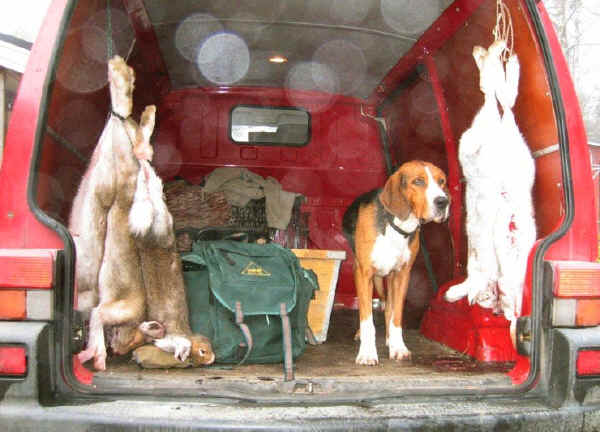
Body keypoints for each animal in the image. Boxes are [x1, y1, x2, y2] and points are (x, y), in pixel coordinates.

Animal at [343, 160, 450, 366]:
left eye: (442, 182)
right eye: (418, 181)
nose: (443, 201)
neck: (397, 226)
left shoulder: (402, 275)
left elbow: (396, 316)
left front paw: (398, 347)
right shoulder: (364, 273)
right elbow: (367, 319)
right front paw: (367, 353)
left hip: (388, 278)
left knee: (388, 307)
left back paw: (389, 339)